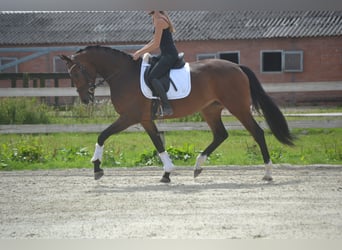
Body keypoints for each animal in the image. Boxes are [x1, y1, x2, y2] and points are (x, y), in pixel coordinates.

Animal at [59, 45, 294, 182]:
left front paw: (97, 167)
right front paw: (167, 173)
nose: (86, 99)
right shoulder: (145, 119)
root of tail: (237, 67)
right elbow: (158, 144)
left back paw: (267, 173)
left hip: (238, 107)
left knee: (257, 133)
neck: (123, 74)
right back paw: (198, 166)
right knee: (220, 134)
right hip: (210, 109)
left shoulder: (129, 117)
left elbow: (103, 135)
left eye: (76, 73)